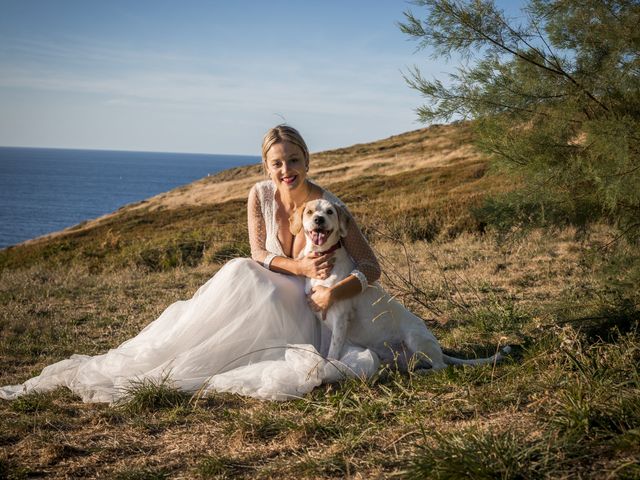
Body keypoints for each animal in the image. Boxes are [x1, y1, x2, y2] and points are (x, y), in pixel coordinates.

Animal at [292, 199, 510, 372]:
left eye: (329, 211)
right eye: (310, 212)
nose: (319, 219)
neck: (324, 255)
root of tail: (439, 350)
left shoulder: (341, 317)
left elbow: (333, 351)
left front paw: (329, 367)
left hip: (415, 338)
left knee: (441, 367)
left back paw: (423, 373)